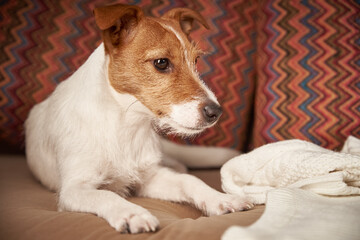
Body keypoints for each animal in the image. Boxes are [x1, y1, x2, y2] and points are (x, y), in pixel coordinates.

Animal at [24, 3, 253, 233]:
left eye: (196, 60)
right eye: (161, 63)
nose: (216, 112)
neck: (127, 124)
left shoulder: (149, 178)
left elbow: (189, 180)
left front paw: (221, 199)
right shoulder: (74, 189)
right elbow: (106, 195)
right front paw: (133, 214)